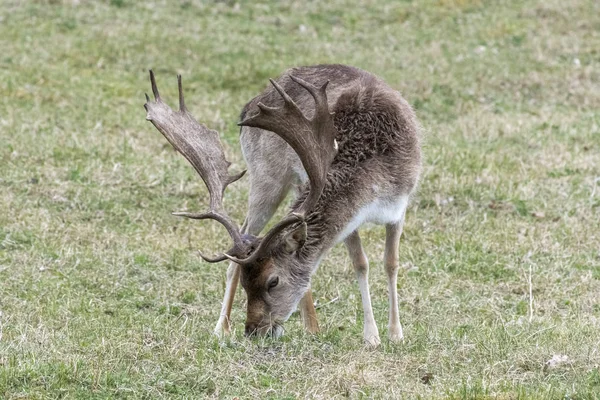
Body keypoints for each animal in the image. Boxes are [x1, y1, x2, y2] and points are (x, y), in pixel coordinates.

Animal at [142, 64, 420, 346]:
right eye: (246, 284)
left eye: (273, 281)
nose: (253, 330)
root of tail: (250, 105)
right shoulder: (351, 219)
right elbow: (361, 264)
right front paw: (372, 336)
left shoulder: (399, 207)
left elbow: (390, 263)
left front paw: (395, 334)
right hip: (266, 177)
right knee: (239, 242)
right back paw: (221, 328)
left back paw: (311, 327)